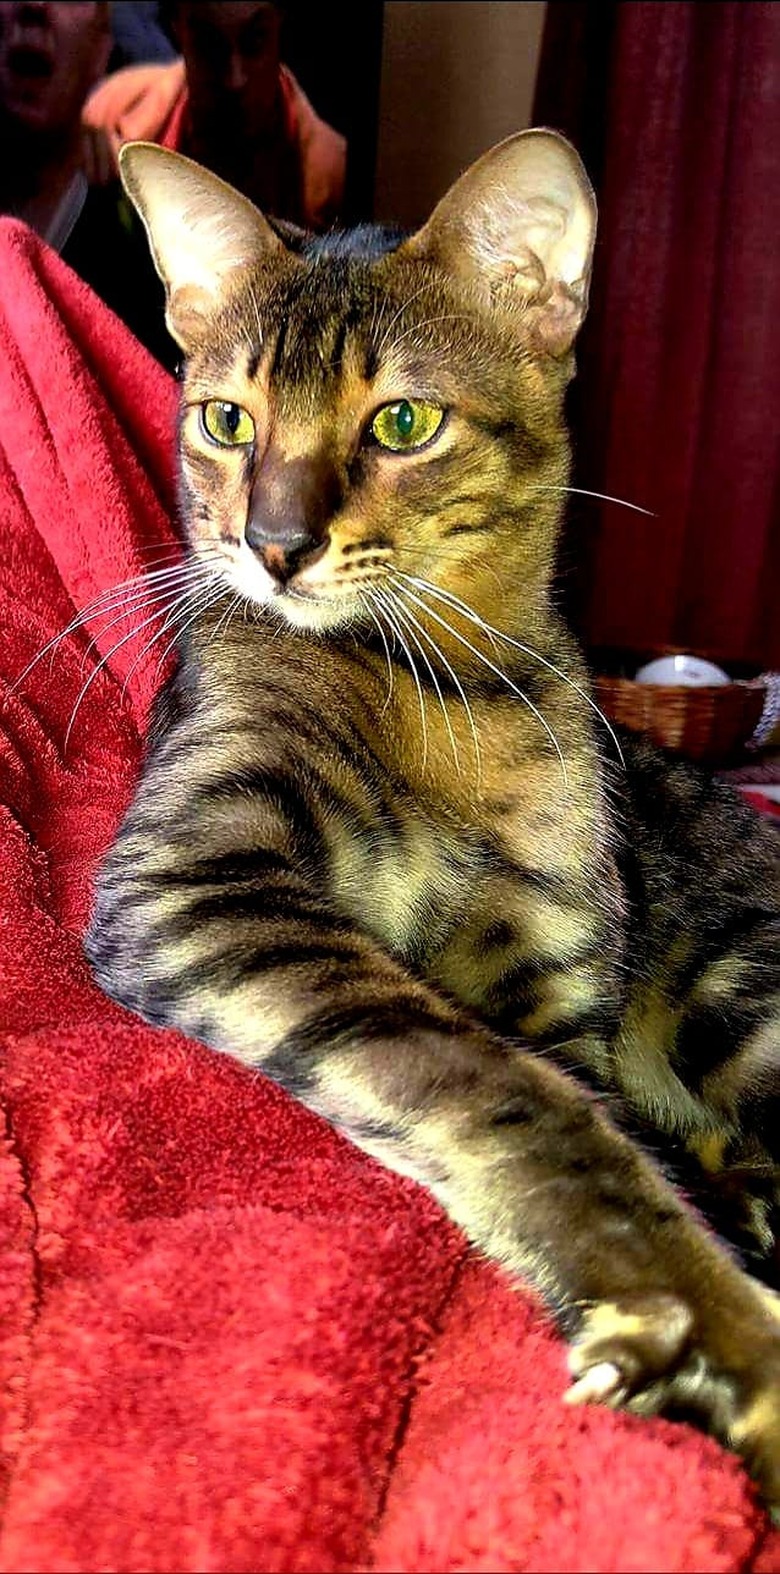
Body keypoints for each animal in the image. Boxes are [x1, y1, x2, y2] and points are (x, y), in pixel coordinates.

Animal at [83, 129, 780, 1504]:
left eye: (401, 420)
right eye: (226, 419)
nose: (273, 543)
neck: (442, 683)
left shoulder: (559, 975)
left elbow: (571, 1097)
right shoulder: (195, 872)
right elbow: (514, 1101)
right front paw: (706, 1320)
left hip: (744, 995)